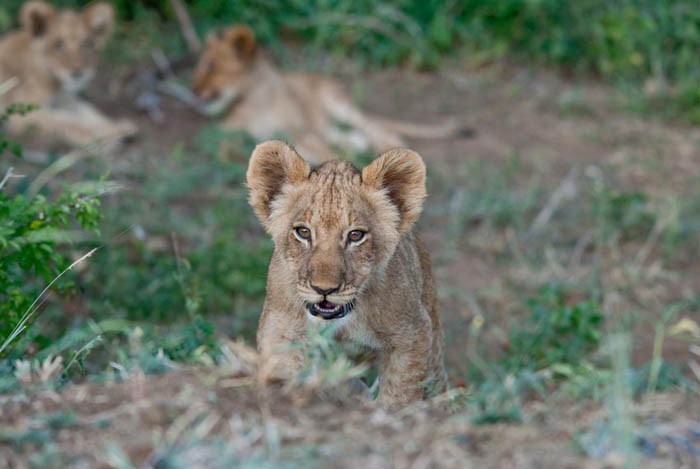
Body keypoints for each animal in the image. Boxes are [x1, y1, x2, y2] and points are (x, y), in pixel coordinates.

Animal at [0, 0, 136, 149]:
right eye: (59, 45)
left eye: (87, 44)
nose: (78, 73)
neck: (55, 81)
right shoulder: (20, 113)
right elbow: (66, 121)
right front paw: (105, 137)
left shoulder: (63, 98)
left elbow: (87, 110)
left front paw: (120, 126)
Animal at [191, 26, 468, 165]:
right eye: (201, 65)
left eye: (210, 66)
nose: (193, 91)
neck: (255, 99)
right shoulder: (221, 132)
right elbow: (225, 147)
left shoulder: (300, 130)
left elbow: (324, 152)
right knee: (348, 136)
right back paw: (358, 146)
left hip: (337, 103)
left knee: (376, 127)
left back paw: (386, 147)